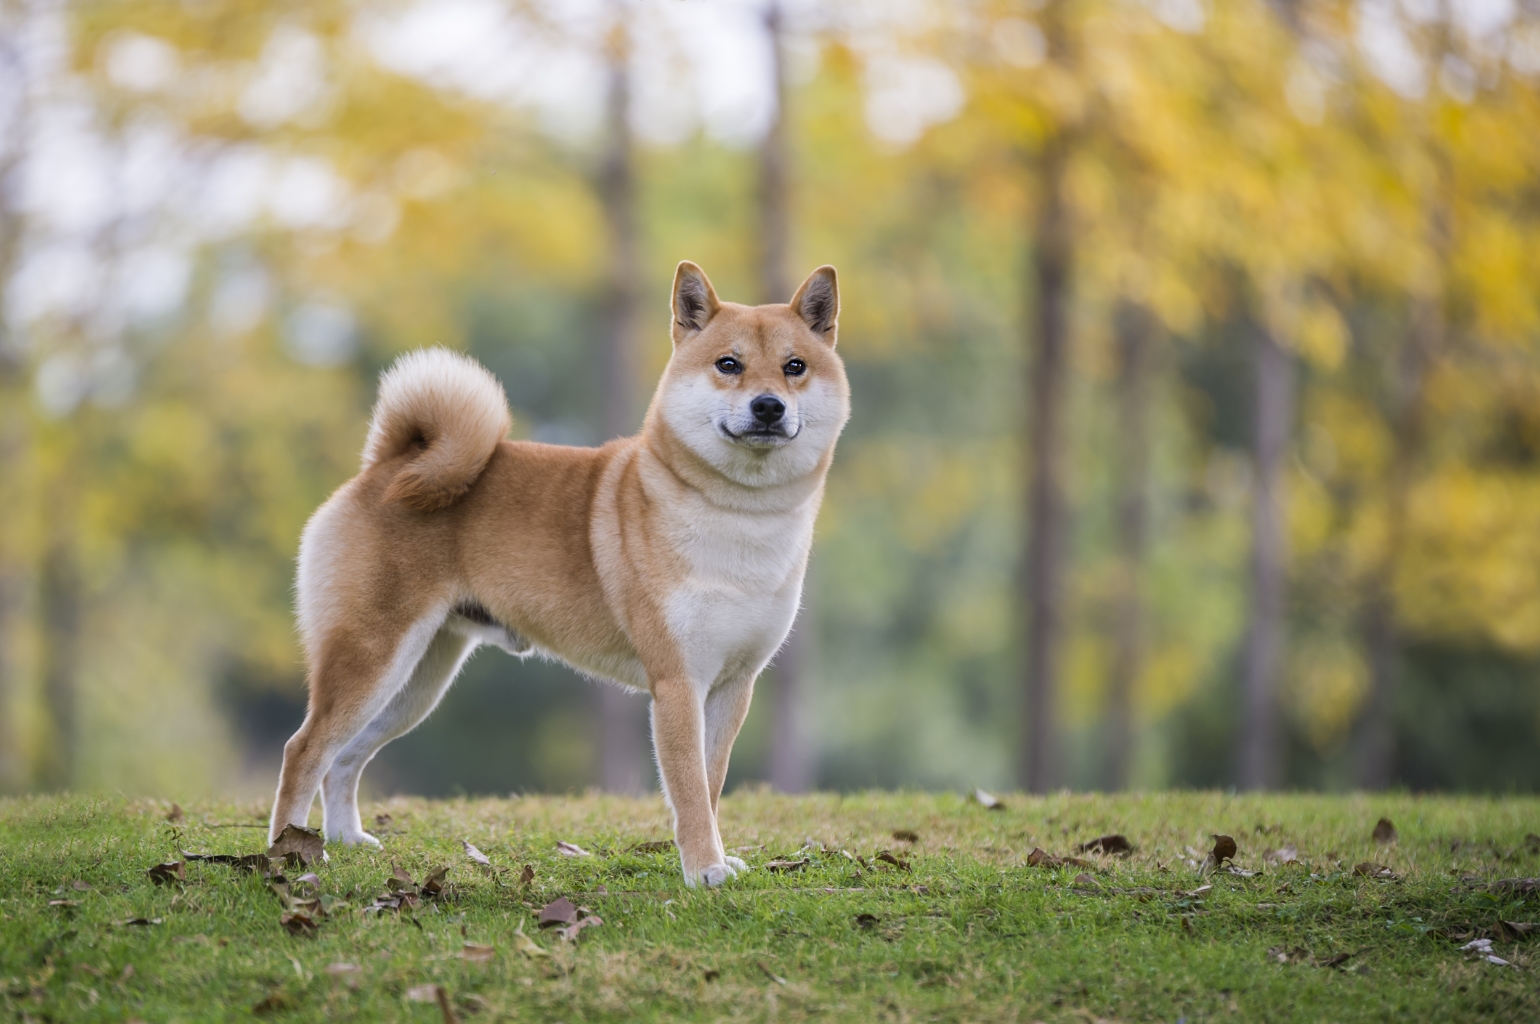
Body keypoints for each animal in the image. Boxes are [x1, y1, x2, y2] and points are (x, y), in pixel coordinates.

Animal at [264, 261, 843, 886]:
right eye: (728, 364)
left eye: (794, 367)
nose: (768, 406)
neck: (740, 518)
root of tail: (388, 466)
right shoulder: (677, 682)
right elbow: (689, 790)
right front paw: (704, 870)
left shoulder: (734, 685)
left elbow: (710, 787)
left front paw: (714, 857)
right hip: (371, 658)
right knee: (304, 749)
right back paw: (287, 854)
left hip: (414, 682)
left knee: (344, 757)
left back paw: (344, 838)